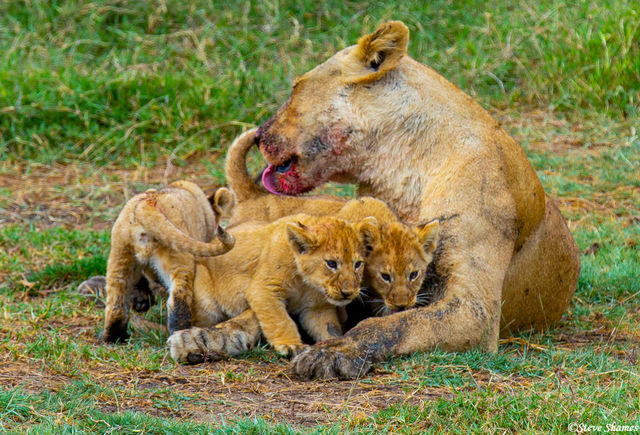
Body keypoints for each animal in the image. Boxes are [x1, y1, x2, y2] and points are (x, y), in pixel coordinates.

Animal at [101, 180, 236, 343]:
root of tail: (145, 206)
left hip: (120, 252)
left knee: (117, 297)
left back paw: (113, 337)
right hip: (178, 255)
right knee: (178, 297)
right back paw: (180, 333)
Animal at [217, 21, 579, 379]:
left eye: (295, 88)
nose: (260, 135)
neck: (400, 167)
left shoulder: (476, 311)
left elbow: (392, 325)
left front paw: (333, 352)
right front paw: (222, 334)